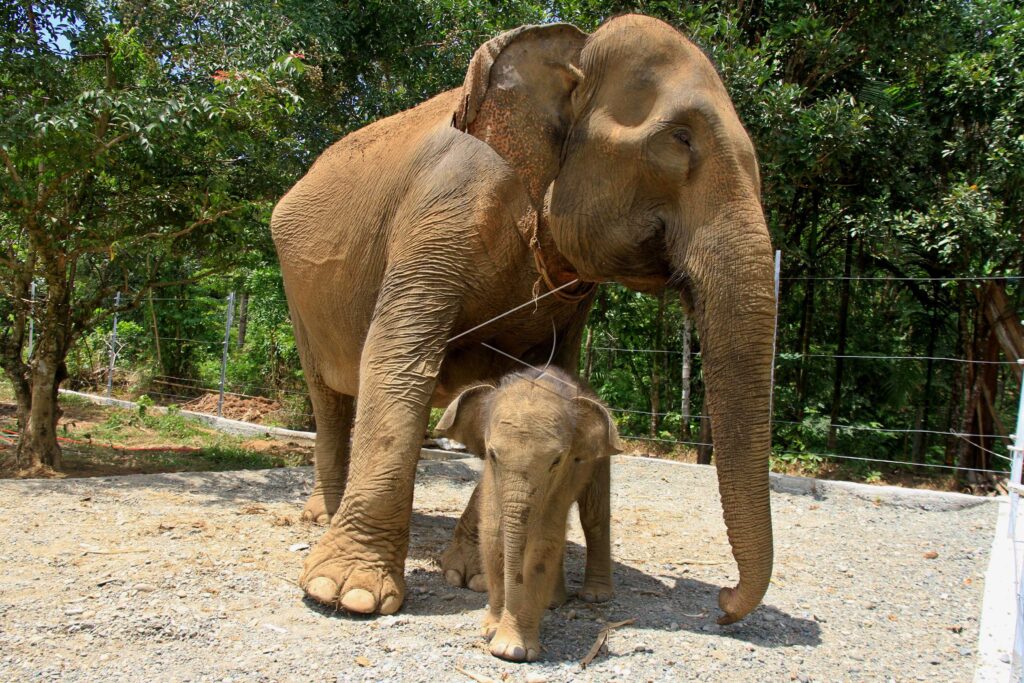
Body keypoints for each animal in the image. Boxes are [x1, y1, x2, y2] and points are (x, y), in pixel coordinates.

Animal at [270, 13, 775, 625]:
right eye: (680, 138)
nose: (723, 602)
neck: (572, 48)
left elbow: (537, 379)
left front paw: (467, 575)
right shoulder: (441, 216)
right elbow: (396, 360)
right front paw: (346, 593)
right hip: (298, 290)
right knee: (329, 399)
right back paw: (321, 516)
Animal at [436, 368, 621, 661]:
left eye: (556, 461)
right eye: (492, 454)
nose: (503, 617)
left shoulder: (563, 477)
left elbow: (543, 542)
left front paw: (511, 649)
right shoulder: (492, 479)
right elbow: (493, 535)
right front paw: (491, 631)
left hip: (600, 460)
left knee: (593, 516)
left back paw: (595, 597)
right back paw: (554, 602)